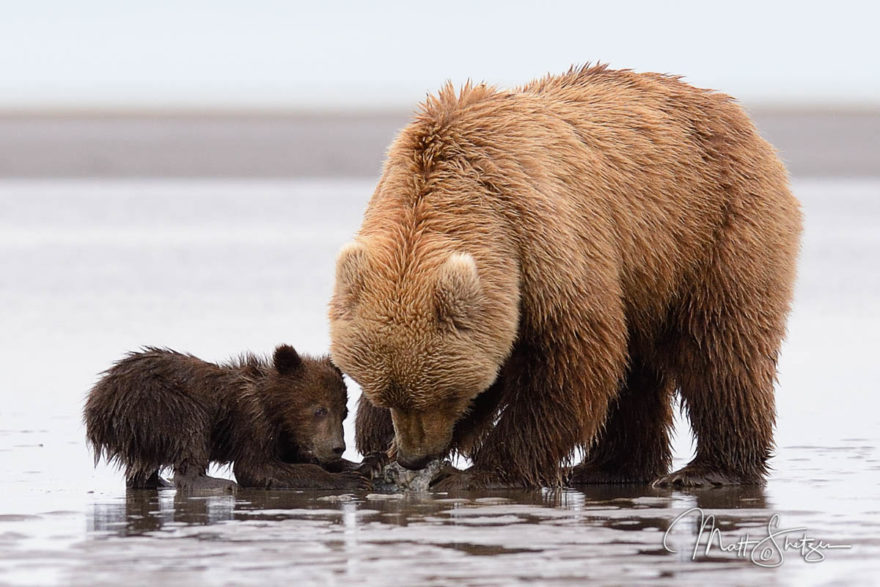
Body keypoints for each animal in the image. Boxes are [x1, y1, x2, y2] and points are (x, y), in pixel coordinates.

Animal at [326, 64, 800, 490]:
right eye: (385, 393)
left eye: (446, 393)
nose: (414, 456)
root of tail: (731, 111)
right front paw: (377, 450)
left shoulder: (542, 241)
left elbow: (570, 357)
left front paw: (480, 472)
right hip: (645, 272)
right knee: (636, 369)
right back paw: (608, 468)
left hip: (711, 230)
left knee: (720, 350)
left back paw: (709, 469)